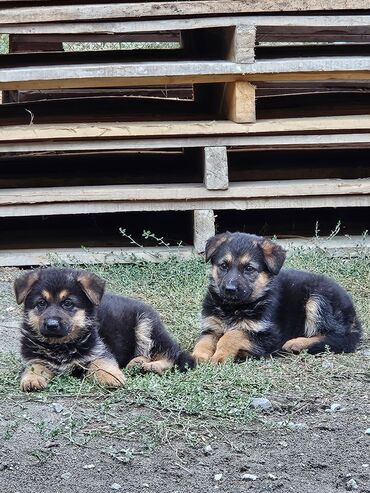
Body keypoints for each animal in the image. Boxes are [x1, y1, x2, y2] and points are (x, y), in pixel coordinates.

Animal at [14, 268, 194, 390]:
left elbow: (101, 363)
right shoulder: (33, 357)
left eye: (68, 303)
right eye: (41, 303)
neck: (60, 345)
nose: (51, 325)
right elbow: (34, 366)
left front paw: (111, 376)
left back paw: (153, 366)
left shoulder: (99, 351)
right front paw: (31, 379)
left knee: (172, 353)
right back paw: (137, 363)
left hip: (146, 326)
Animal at [192, 231, 362, 362]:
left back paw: (296, 343)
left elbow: (233, 334)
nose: (230, 289)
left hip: (317, 299)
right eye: (223, 266)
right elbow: (203, 341)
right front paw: (197, 356)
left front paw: (219, 356)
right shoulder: (211, 327)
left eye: (249, 269)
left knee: (336, 337)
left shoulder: (270, 334)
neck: (233, 308)